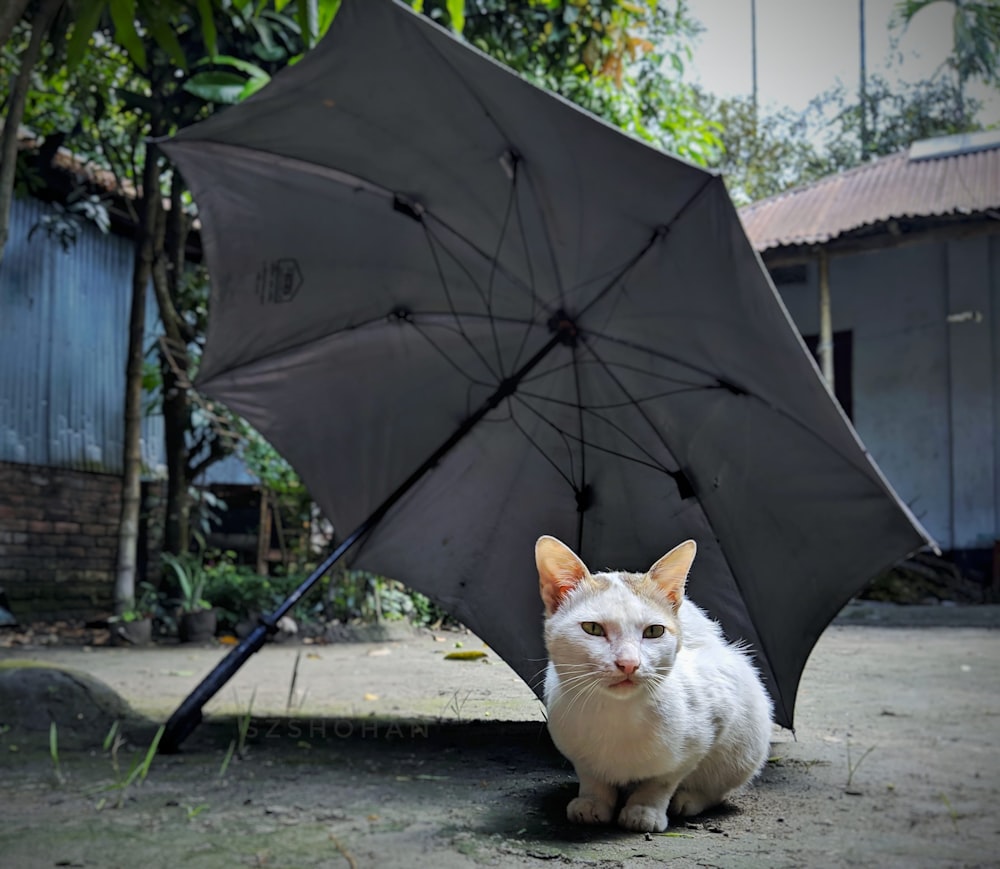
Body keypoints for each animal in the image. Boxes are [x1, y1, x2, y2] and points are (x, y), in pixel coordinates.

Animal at [540, 532, 772, 832]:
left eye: (654, 631)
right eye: (592, 628)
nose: (628, 663)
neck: (618, 716)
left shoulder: (710, 721)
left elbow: (663, 779)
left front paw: (644, 809)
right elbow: (591, 773)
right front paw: (593, 800)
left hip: (747, 736)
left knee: (718, 786)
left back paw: (689, 800)